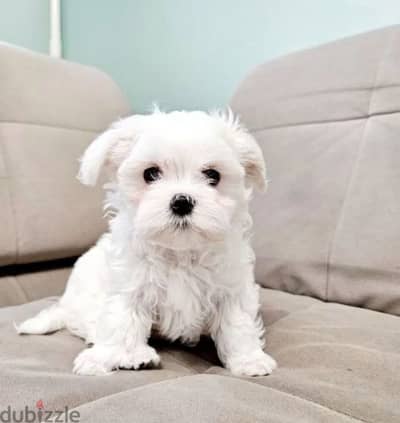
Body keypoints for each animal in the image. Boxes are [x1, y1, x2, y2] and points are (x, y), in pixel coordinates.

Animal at [16, 109, 278, 378]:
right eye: (150, 173)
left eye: (213, 175)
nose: (181, 201)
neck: (179, 253)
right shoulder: (129, 285)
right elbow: (122, 319)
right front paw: (115, 356)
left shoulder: (230, 286)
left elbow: (237, 322)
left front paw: (248, 359)